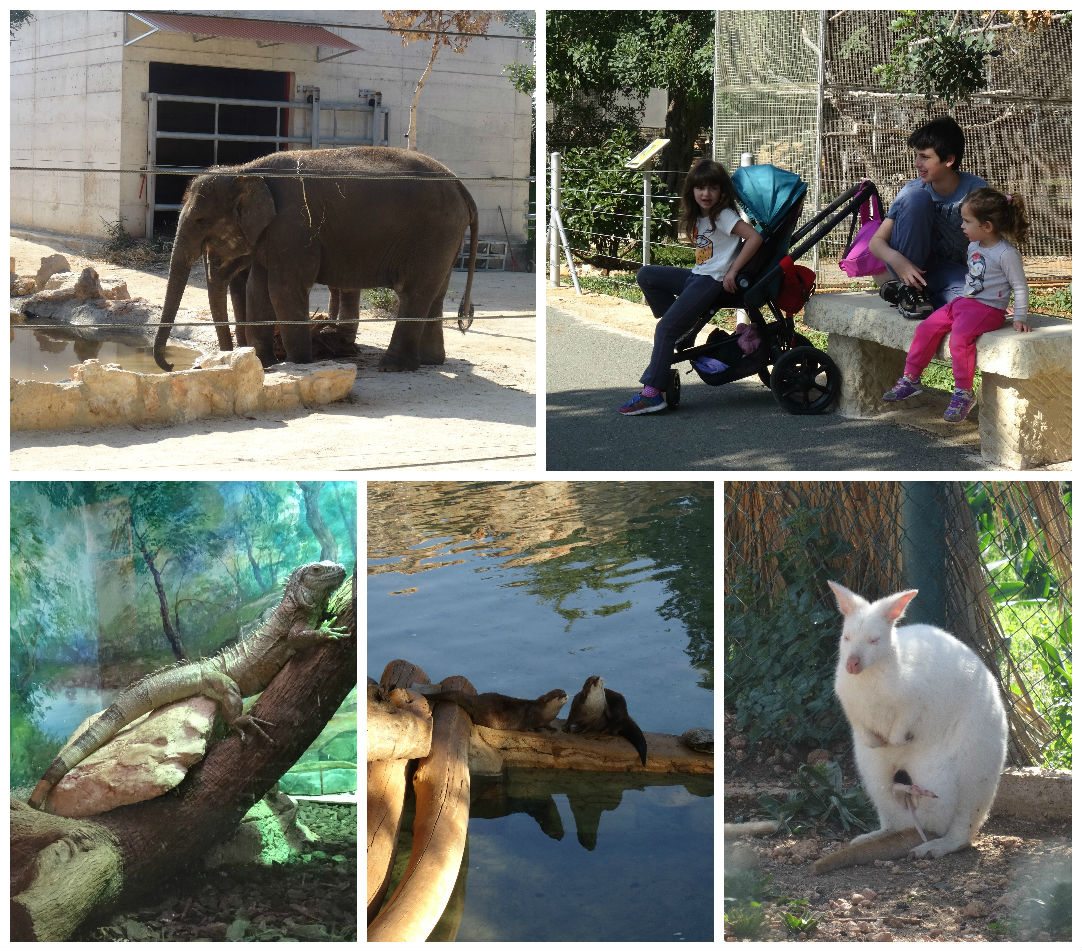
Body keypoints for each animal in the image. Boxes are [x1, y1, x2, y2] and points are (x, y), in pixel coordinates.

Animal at [154, 148, 476, 372]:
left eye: (200, 220)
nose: (171, 365)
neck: (245, 171)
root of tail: (461, 185)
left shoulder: (292, 228)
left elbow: (283, 290)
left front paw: (299, 364)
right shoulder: (272, 235)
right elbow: (258, 290)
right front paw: (265, 364)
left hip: (433, 233)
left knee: (413, 292)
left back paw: (393, 366)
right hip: (446, 238)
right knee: (436, 292)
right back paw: (431, 362)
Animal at [426, 688, 571, 731]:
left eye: (563, 691)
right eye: (558, 695)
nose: (566, 695)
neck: (545, 713)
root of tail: (476, 699)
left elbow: (547, 725)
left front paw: (552, 728)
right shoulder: (531, 715)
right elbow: (531, 725)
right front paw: (534, 730)